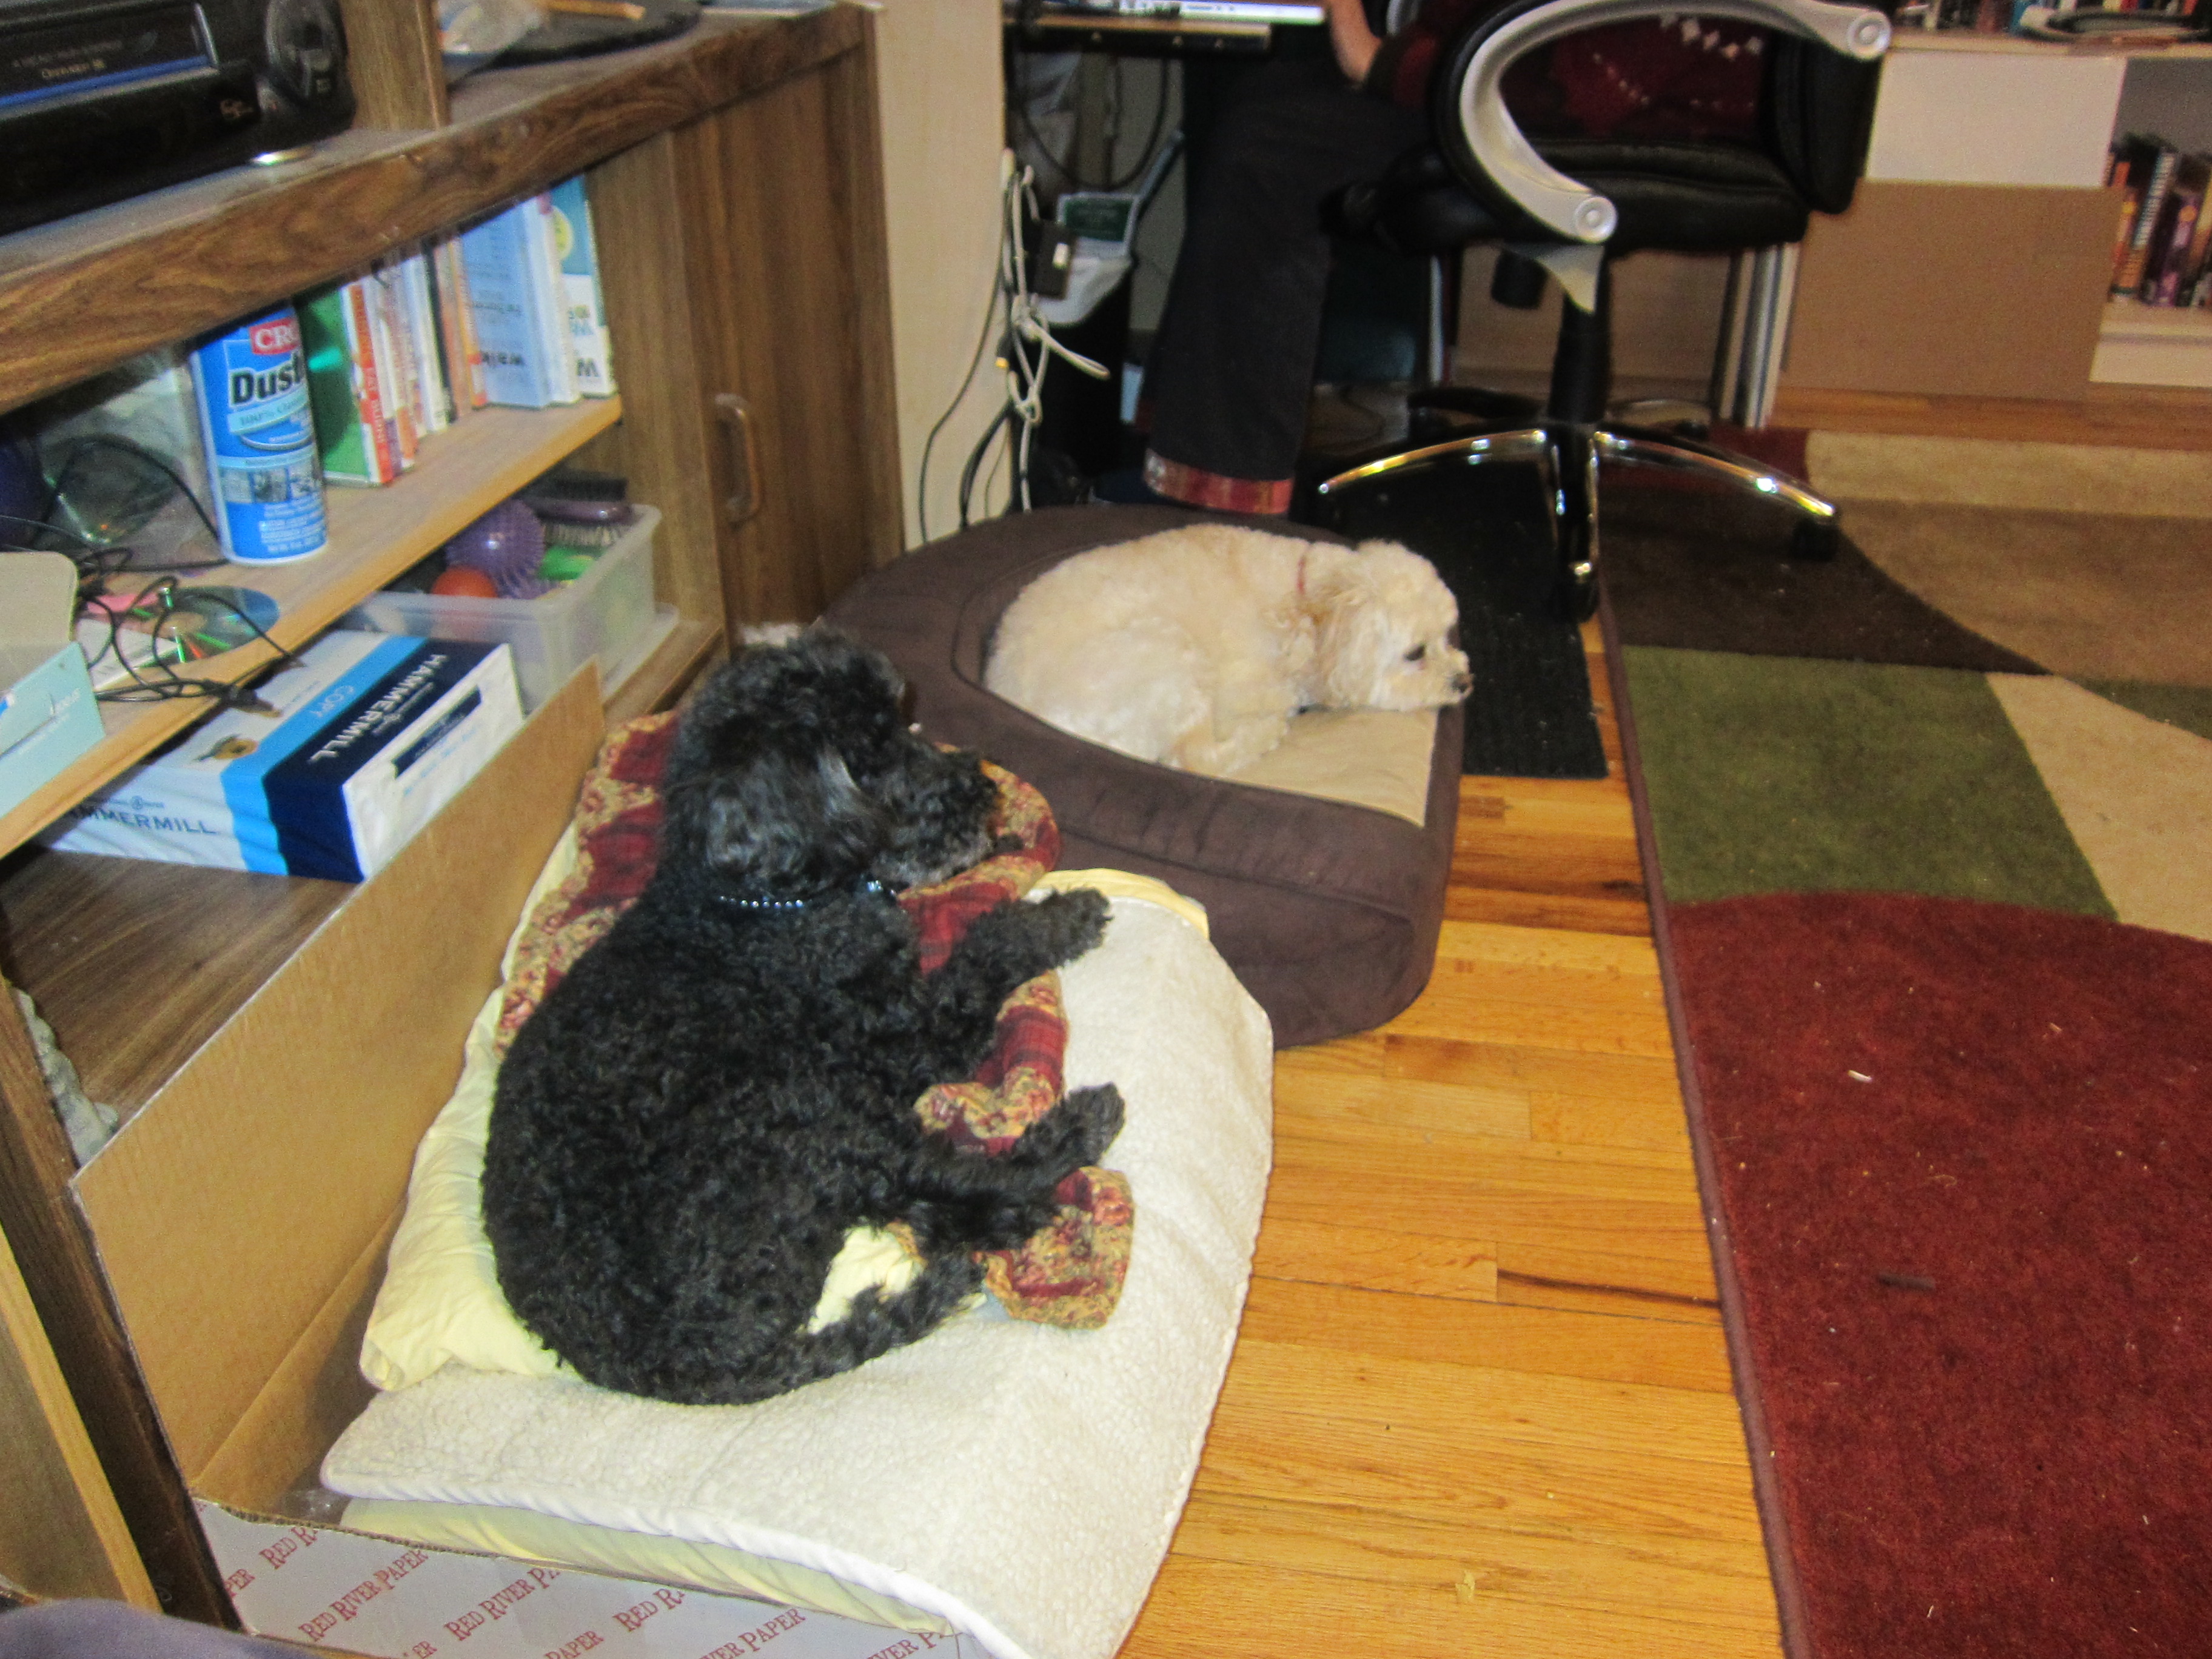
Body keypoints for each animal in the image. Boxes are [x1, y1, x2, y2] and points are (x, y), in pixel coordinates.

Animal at [483, 630, 1123, 1406]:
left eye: (902, 725)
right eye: (868, 761)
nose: (984, 793)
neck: (752, 906)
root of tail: (674, 1364)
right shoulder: (909, 1038)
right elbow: (986, 944)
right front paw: (1062, 915)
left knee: (915, 1202)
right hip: (793, 1116)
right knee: (941, 1176)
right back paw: (1073, 1132)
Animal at [984, 524, 1473, 776]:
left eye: (1448, 636)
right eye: (1416, 653)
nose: (1466, 681)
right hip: (1170, 655)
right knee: (1194, 759)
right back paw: (1263, 733)